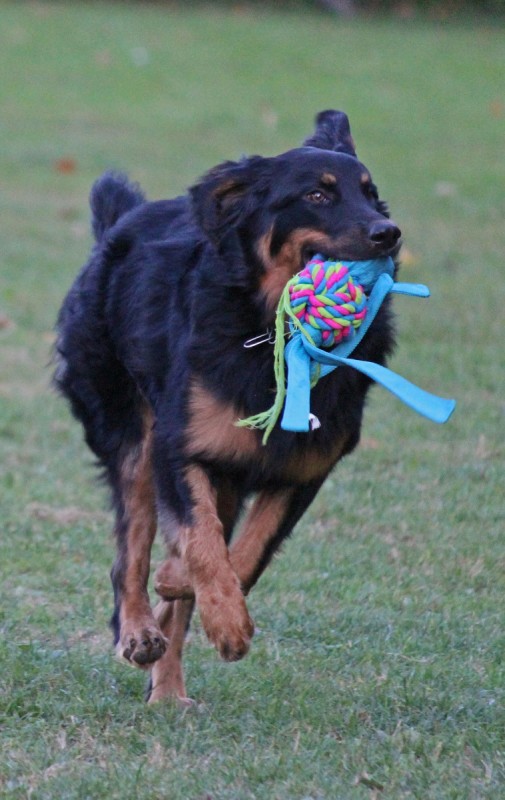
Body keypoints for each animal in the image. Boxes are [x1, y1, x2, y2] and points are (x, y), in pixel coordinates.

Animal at [54, 110, 401, 704]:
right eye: (317, 194)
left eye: (372, 195)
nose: (389, 232)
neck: (271, 333)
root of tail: (119, 224)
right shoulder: (182, 447)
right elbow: (201, 542)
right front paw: (222, 616)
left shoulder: (303, 467)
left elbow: (246, 555)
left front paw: (204, 602)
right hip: (132, 435)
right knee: (130, 552)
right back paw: (139, 631)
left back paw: (169, 690)